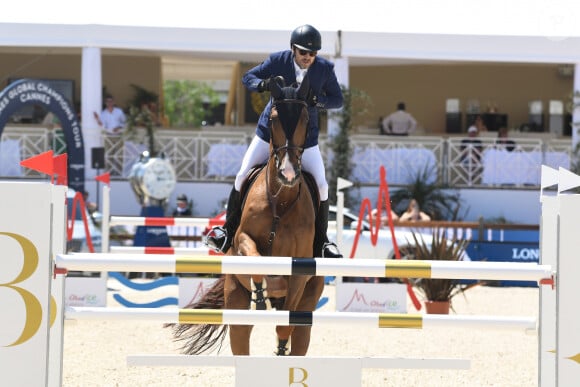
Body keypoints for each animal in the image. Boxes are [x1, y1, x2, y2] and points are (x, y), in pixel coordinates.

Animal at [168, 76, 324, 358]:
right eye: (273, 118)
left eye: (307, 118)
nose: (288, 173)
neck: (281, 201)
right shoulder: (243, 238)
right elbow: (256, 257)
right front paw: (262, 291)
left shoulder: (300, 272)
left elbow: (285, 324)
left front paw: (280, 340)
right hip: (236, 301)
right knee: (241, 336)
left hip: (307, 308)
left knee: (298, 334)